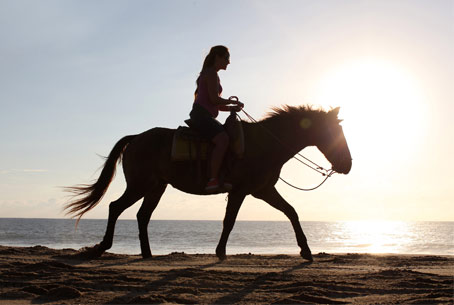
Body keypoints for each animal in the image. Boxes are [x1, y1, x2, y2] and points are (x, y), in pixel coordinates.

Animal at [63, 105, 352, 262]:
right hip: (140, 185)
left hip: (156, 187)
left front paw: (306, 250)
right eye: (332, 132)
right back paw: (103, 246)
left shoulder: (263, 190)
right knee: (115, 207)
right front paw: (220, 251)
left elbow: (292, 212)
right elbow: (229, 221)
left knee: (142, 215)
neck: (264, 143)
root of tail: (136, 138)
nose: (347, 165)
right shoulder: (242, 191)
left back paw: (147, 253)